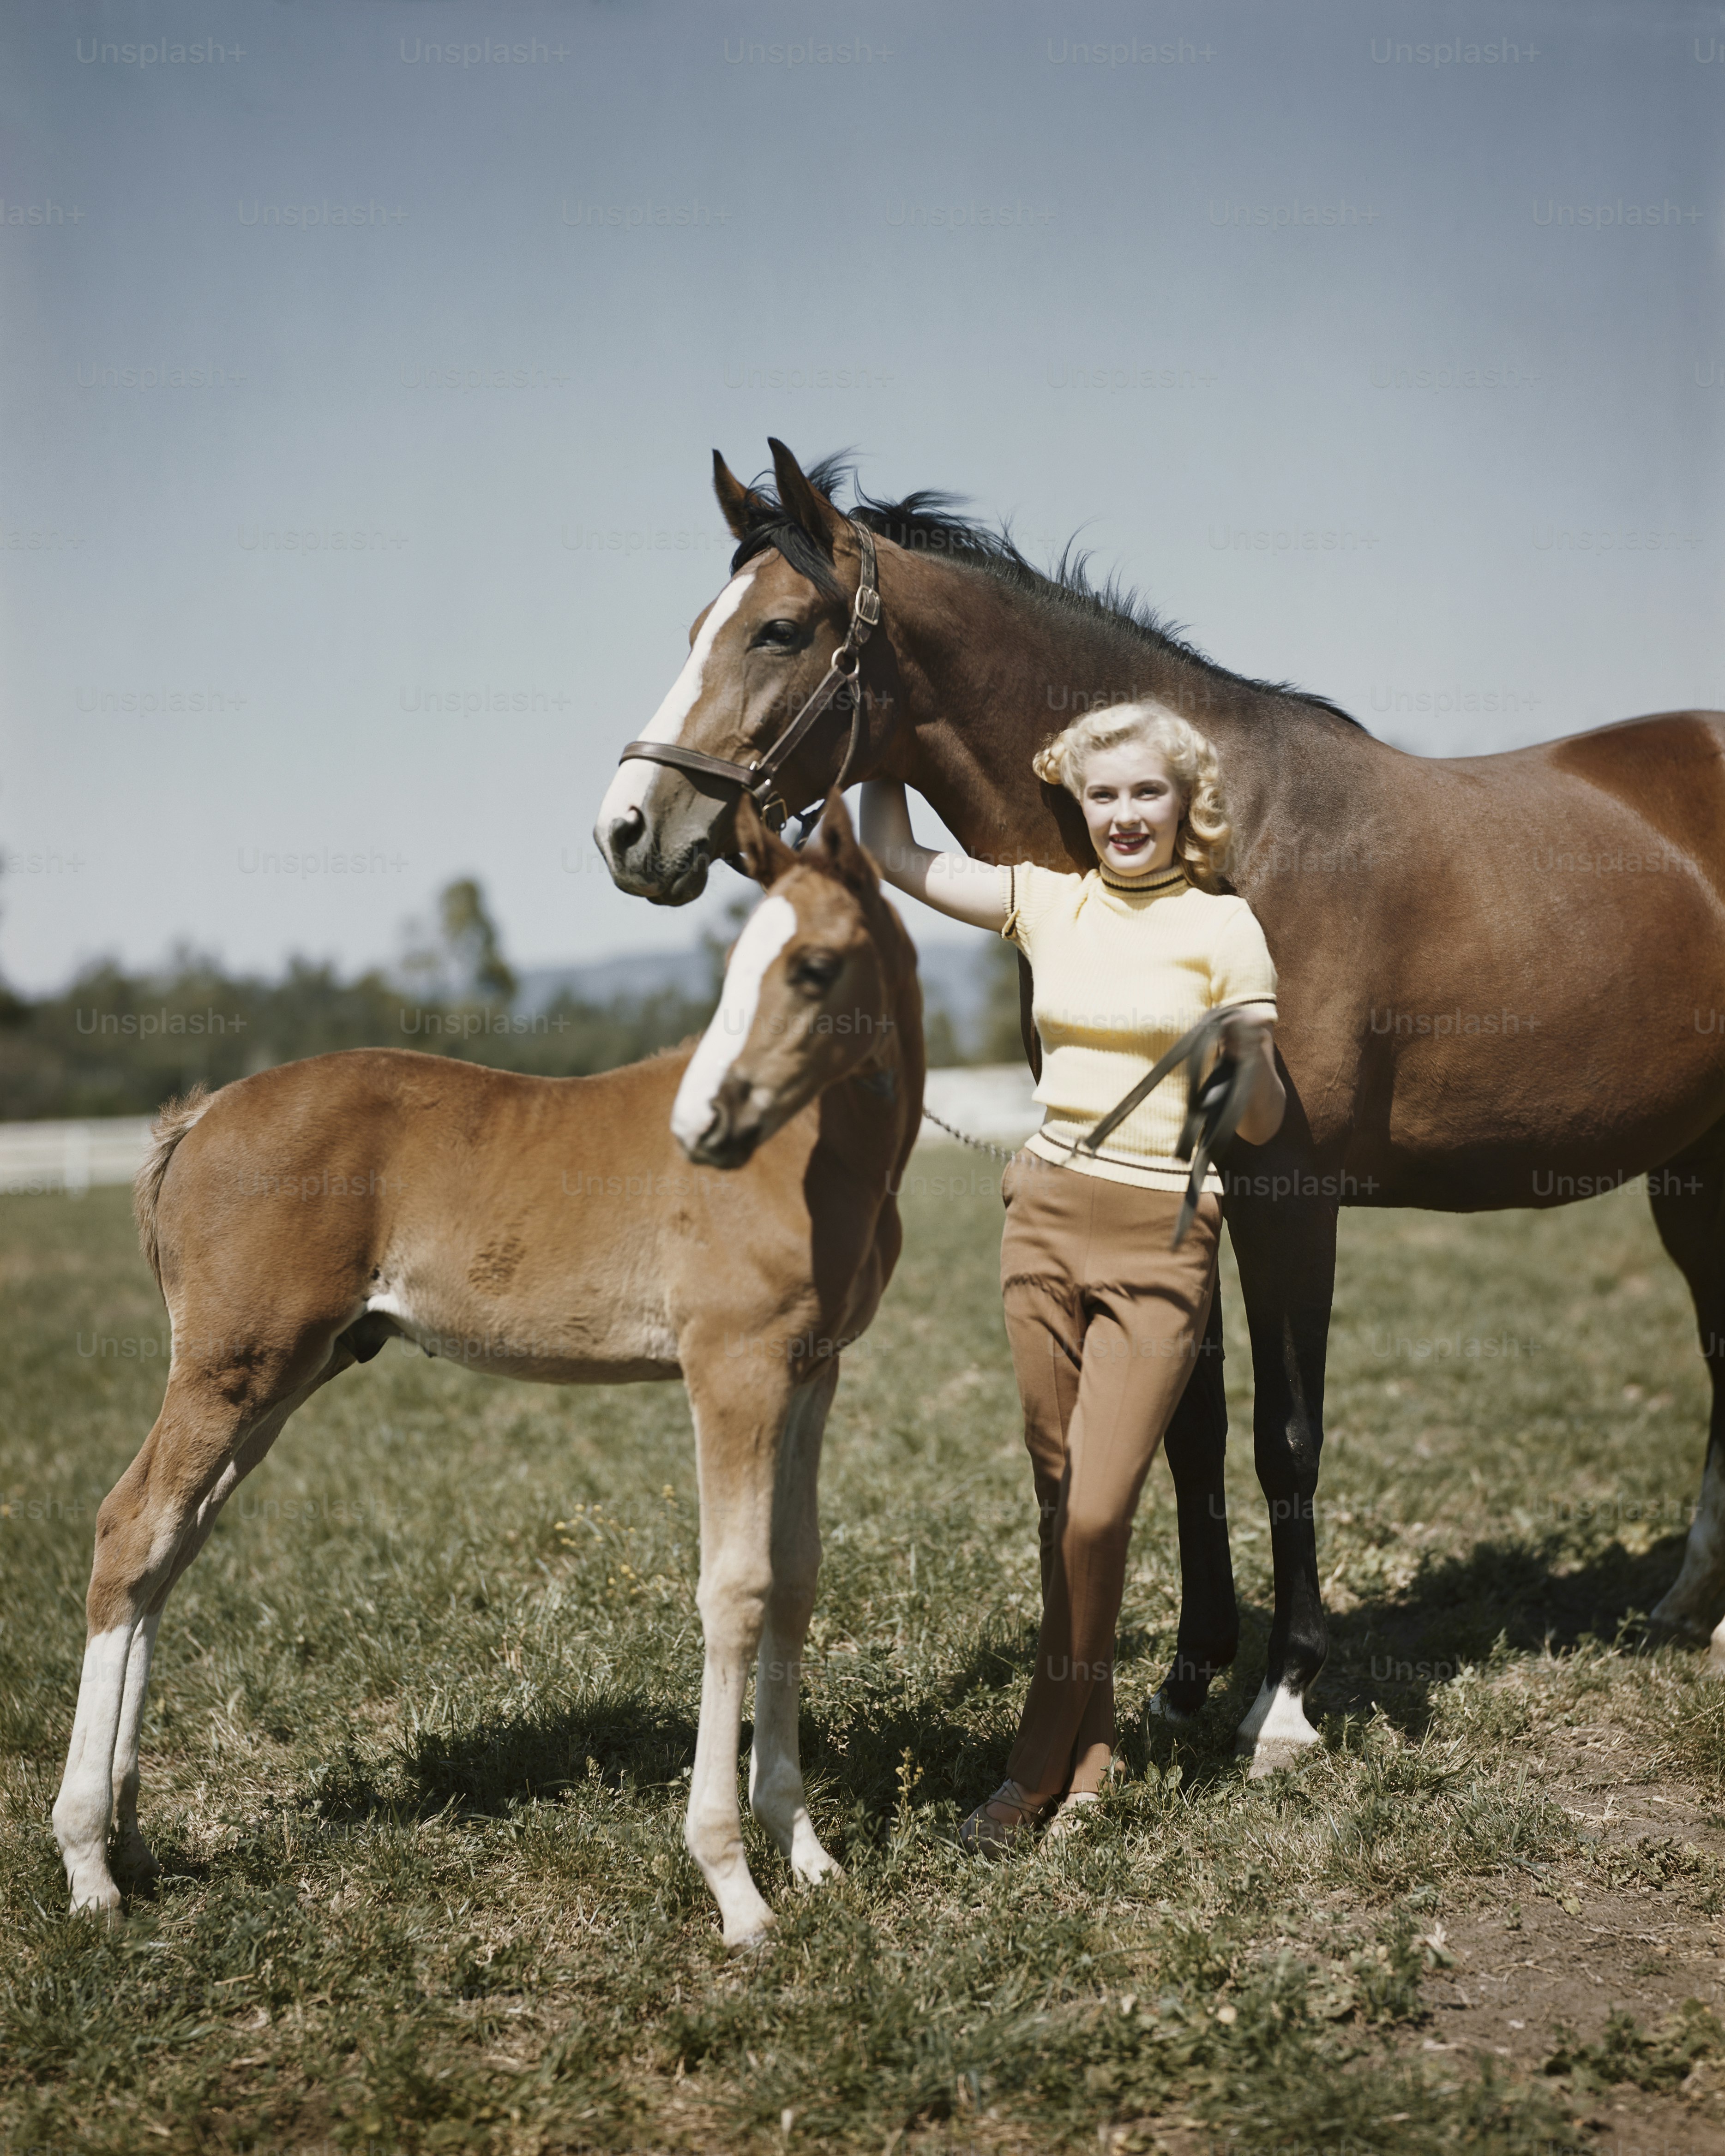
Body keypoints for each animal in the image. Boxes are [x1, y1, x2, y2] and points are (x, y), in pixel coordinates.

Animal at [52, 797, 923, 1948]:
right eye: (738, 962)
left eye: (815, 966)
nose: (701, 1127)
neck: (810, 1155)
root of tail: (199, 1117)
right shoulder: (730, 1369)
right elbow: (734, 1588)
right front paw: (735, 1887)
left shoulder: (809, 1373)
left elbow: (795, 1575)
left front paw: (807, 1851)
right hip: (232, 1367)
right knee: (130, 1527)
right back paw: (87, 1866)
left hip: (284, 1376)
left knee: (172, 1542)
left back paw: (131, 1840)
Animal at [595, 436, 1725, 1774]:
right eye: (696, 629)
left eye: (777, 630)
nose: (626, 829)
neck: (1222, 844)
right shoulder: (1180, 1187)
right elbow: (1187, 1426)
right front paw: (1190, 1678)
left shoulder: (1290, 1193)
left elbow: (1283, 1430)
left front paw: (1283, 1696)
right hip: (1693, 1164)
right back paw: (1689, 1608)